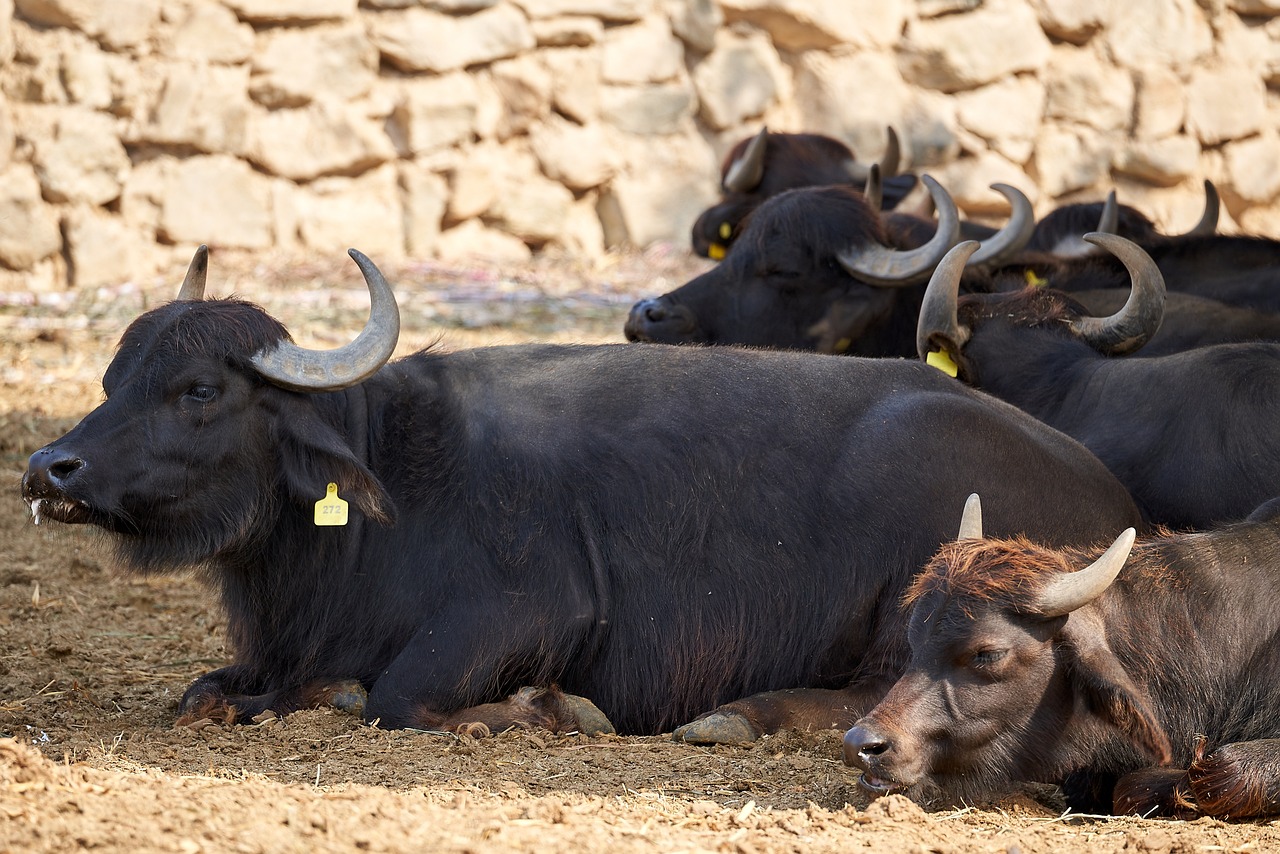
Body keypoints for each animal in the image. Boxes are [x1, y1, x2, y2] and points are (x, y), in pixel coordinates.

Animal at [20, 248, 1141, 742]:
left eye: (198, 389)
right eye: (113, 374)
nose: (47, 469)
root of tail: (1107, 490)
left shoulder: (531, 608)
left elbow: (390, 695)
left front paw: (537, 707)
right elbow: (207, 690)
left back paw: (735, 717)